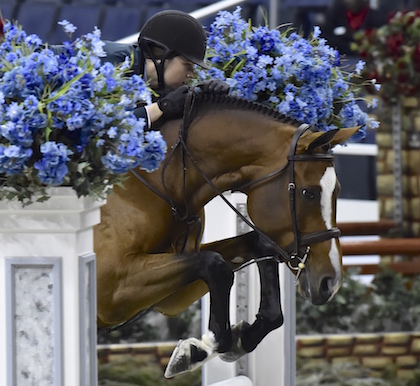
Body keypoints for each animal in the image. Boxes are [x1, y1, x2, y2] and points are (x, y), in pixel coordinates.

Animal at [94, 92, 358, 376]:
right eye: (308, 193)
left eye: (337, 190)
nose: (331, 283)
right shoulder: (113, 290)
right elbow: (216, 265)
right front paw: (203, 347)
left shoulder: (167, 297)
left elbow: (255, 248)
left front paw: (241, 338)